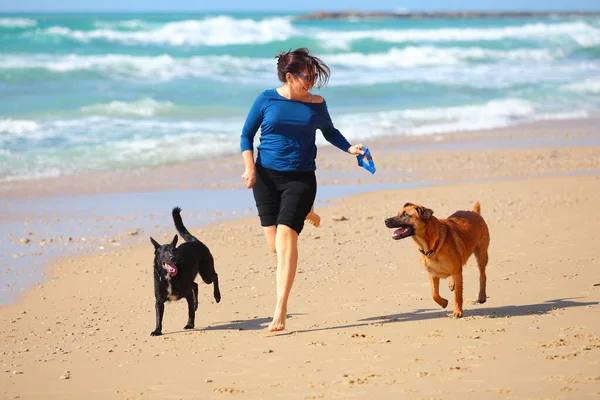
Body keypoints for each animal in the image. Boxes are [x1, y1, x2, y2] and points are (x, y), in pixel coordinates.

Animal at [149, 208, 220, 336]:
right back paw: (197, 304)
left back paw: (217, 296)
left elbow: (190, 312)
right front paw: (157, 330)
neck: (169, 277)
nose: (173, 258)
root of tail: (195, 241)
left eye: (174, 250)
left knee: (215, 276)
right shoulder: (159, 301)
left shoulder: (187, 295)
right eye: (164, 252)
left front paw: (190, 324)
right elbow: (158, 317)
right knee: (195, 285)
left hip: (206, 274)